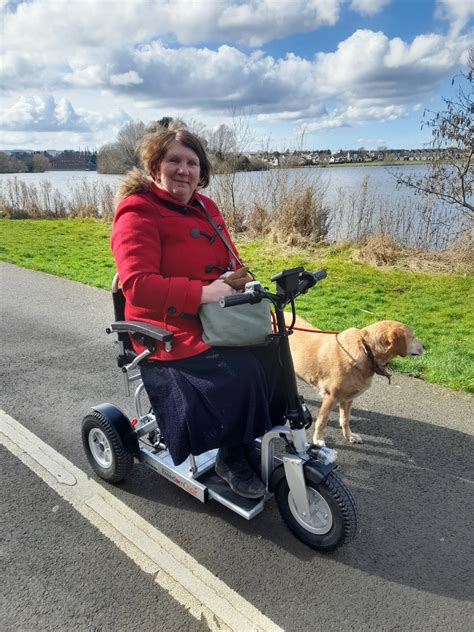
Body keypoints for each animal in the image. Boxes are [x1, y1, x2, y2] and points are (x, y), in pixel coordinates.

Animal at [286, 314, 426, 444]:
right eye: (413, 337)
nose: (425, 346)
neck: (366, 351)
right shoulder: (331, 397)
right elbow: (322, 421)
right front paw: (318, 439)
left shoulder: (348, 399)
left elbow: (345, 419)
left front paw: (349, 436)